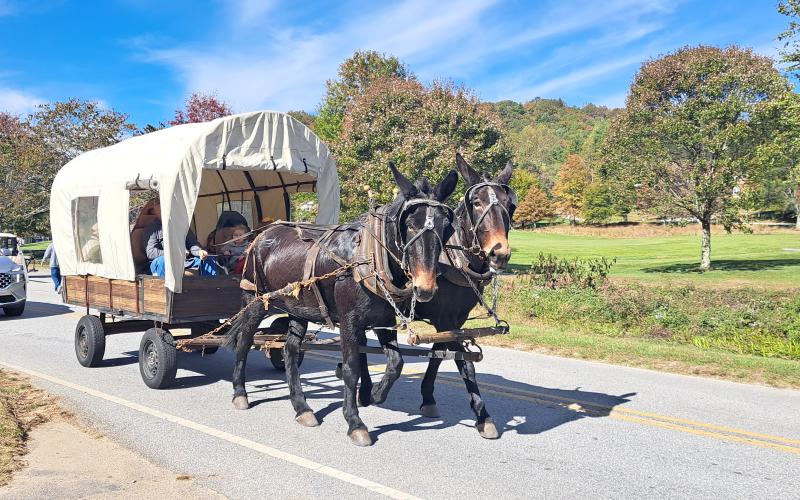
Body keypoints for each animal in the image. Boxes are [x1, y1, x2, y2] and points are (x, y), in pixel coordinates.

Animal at [224, 163, 458, 446]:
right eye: (410, 225)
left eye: (446, 226)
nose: (425, 288)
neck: (370, 257)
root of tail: (262, 234)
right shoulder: (349, 321)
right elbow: (351, 369)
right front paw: (355, 422)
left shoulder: (384, 320)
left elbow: (396, 363)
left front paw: (372, 395)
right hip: (256, 300)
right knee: (245, 342)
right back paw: (240, 393)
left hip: (299, 309)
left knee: (290, 350)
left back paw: (302, 408)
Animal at [355, 153, 515, 439]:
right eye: (476, 203)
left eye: (510, 205)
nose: (500, 253)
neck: (455, 260)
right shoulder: (444, 320)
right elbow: (465, 363)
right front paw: (483, 415)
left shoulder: (454, 321)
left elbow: (439, 354)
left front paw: (428, 398)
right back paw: (364, 390)